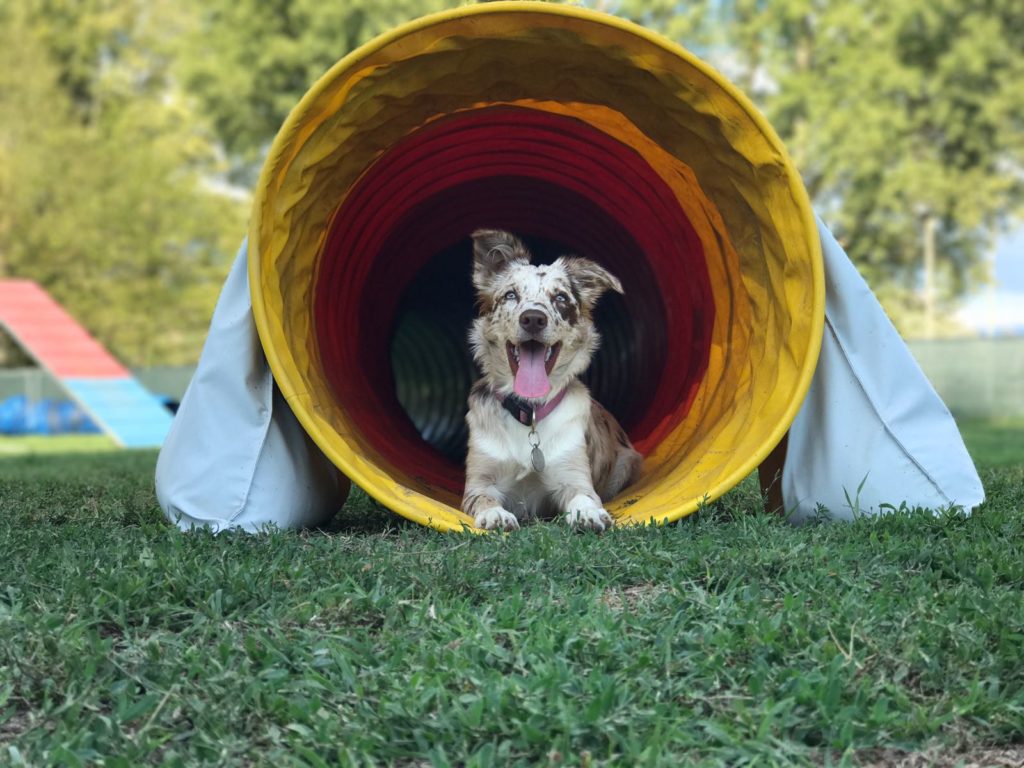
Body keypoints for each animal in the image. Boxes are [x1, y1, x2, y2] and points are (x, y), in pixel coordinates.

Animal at [462, 228, 638, 528]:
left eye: (561, 298)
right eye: (511, 294)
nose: (533, 318)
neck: (529, 412)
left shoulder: (573, 476)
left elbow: (584, 497)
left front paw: (589, 513)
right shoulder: (479, 482)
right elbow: (484, 499)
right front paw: (495, 514)